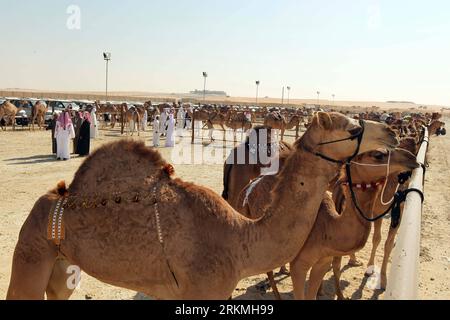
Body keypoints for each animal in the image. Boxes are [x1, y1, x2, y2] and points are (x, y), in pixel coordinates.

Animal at [6, 112, 394, 300]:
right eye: (353, 128)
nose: (391, 135)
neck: (240, 241)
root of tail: (47, 201)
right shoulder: (205, 287)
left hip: (62, 265)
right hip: (30, 250)